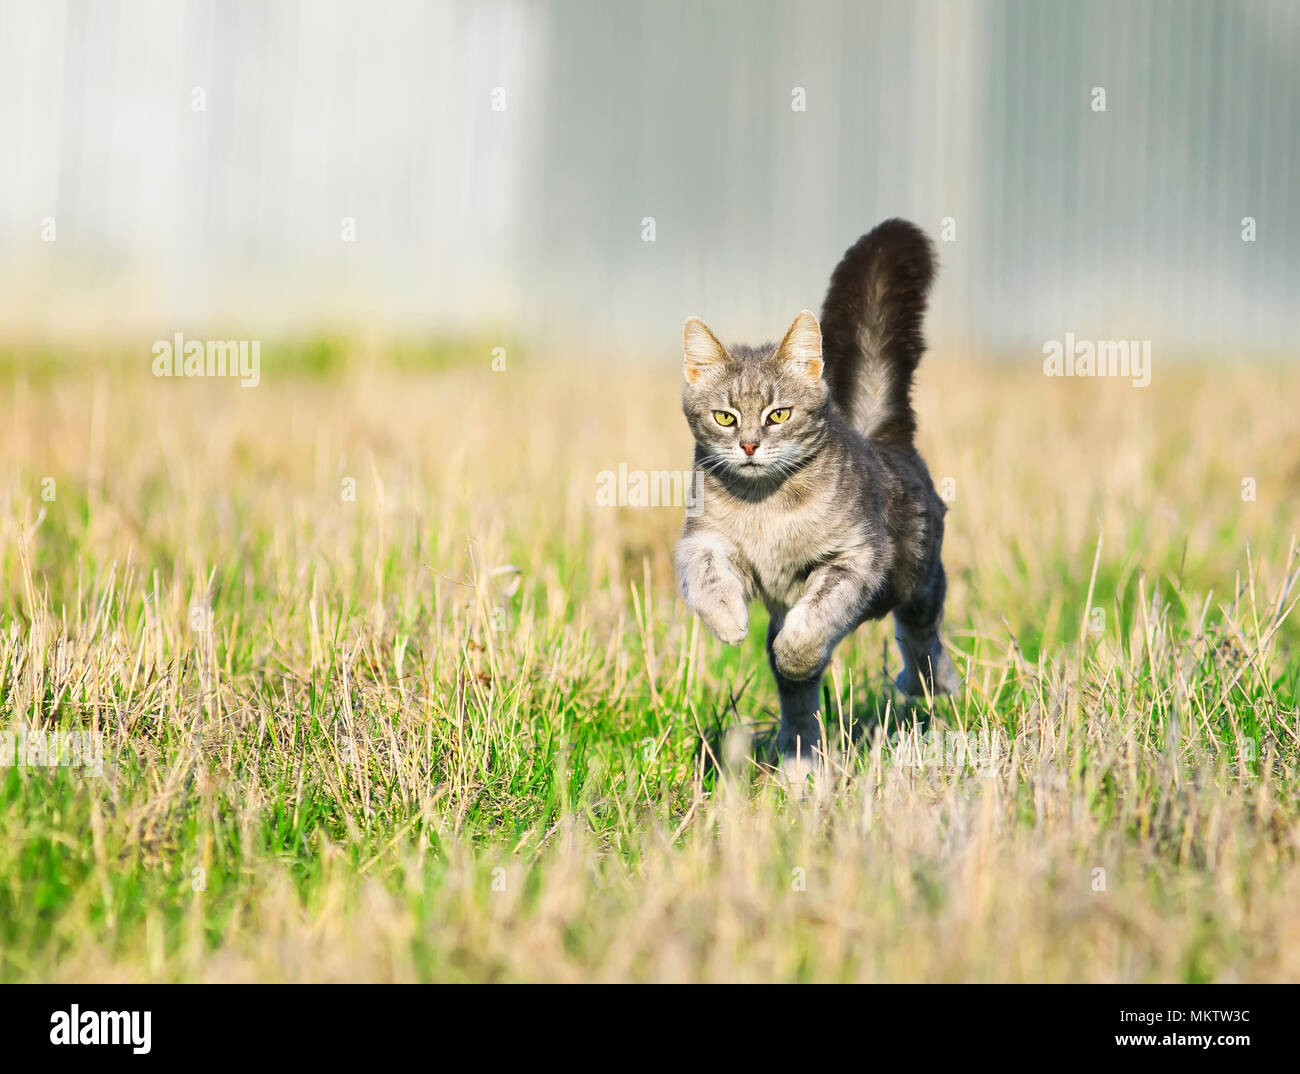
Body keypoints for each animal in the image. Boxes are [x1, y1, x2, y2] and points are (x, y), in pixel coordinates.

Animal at [676, 217, 961, 759]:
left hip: (918, 580)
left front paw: (796, 652)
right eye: (725, 417)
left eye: (778, 414)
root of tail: (877, 433)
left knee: (922, 639)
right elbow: (706, 576)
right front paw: (727, 620)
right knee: (800, 705)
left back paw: (930, 683)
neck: (765, 505)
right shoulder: (701, 538)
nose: (748, 444)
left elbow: (813, 620)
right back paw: (798, 756)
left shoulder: (857, 558)